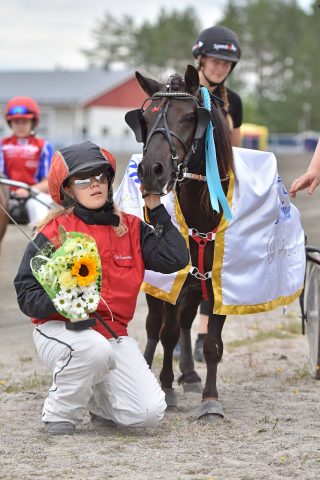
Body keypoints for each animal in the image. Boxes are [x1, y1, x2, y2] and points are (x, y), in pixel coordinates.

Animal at [126, 65, 234, 422]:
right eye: (145, 116)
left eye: (189, 117)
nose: (151, 170)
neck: (202, 216)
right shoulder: (171, 279)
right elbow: (166, 333)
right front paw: (165, 387)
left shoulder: (218, 282)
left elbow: (212, 342)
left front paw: (210, 400)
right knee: (155, 327)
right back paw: (151, 368)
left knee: (186, 323)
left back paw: (188, 373)